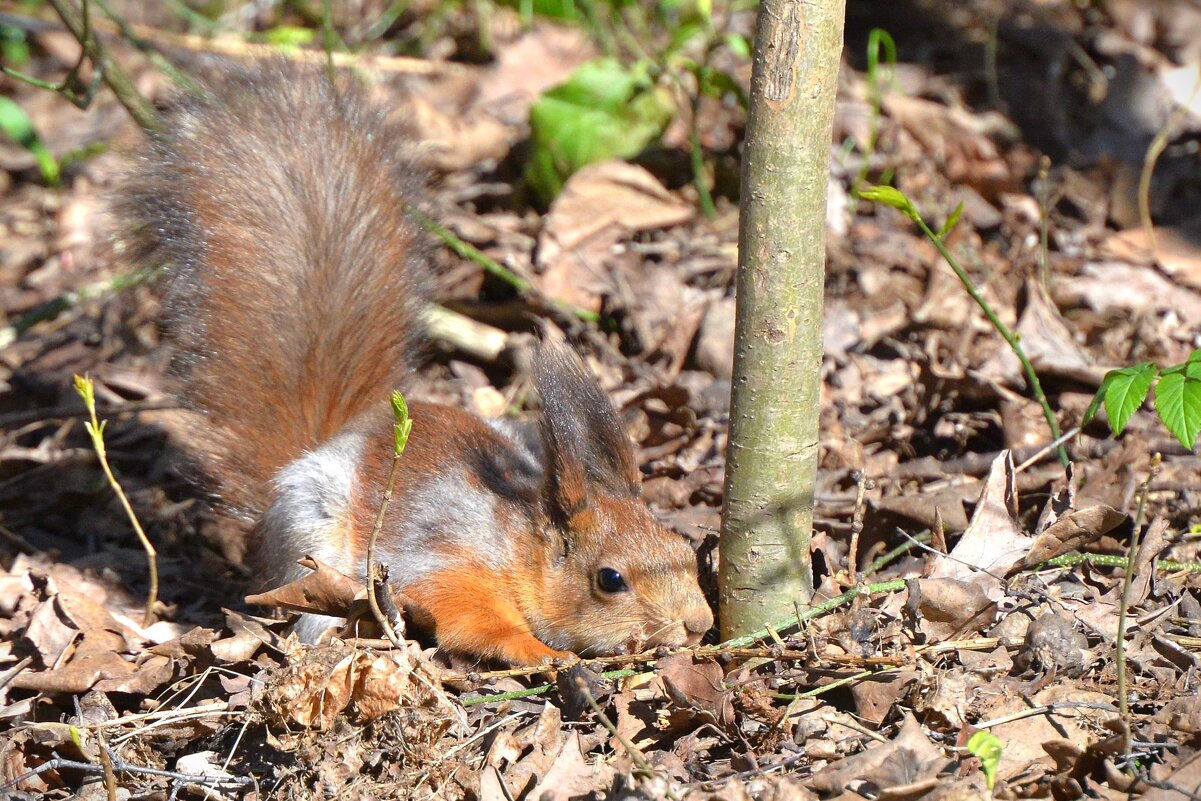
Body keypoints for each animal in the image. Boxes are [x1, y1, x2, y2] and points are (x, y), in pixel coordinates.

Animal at [117, 65, 714, 665]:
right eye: (610, 580)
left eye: (684, 547)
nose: (699, 624)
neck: (520, 540)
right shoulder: (448, 560)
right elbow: (468, 616)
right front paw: (542, 651)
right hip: (310, 533)